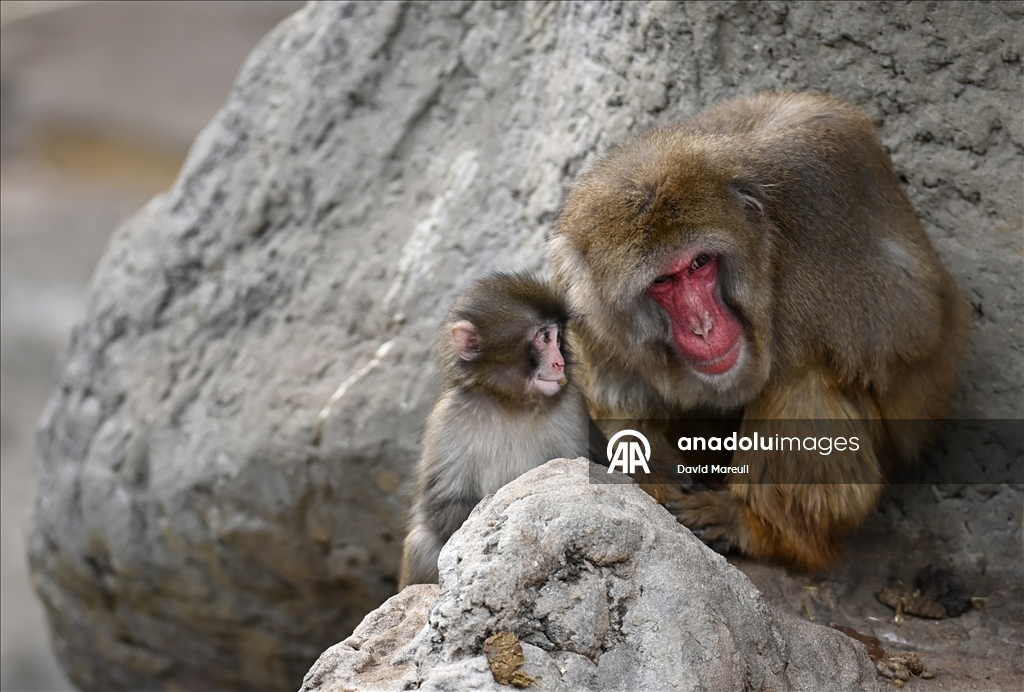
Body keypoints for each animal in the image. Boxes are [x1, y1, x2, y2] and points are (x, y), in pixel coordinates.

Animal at [399, 272, 590, 587]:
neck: (510, 404)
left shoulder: (572, 406)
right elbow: (442, 505)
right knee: (422, 541)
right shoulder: (448, 417)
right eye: (544, 337)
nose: (559, 362)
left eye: (559, 337)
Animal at [550, 92, 970, 571]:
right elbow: (619, 396)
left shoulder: (819, 202)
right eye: (663, 281)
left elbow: (905, 325)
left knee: (802, 384)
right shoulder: (582, 298)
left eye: (699, 263)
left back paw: (759, 528)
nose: (703, 325)